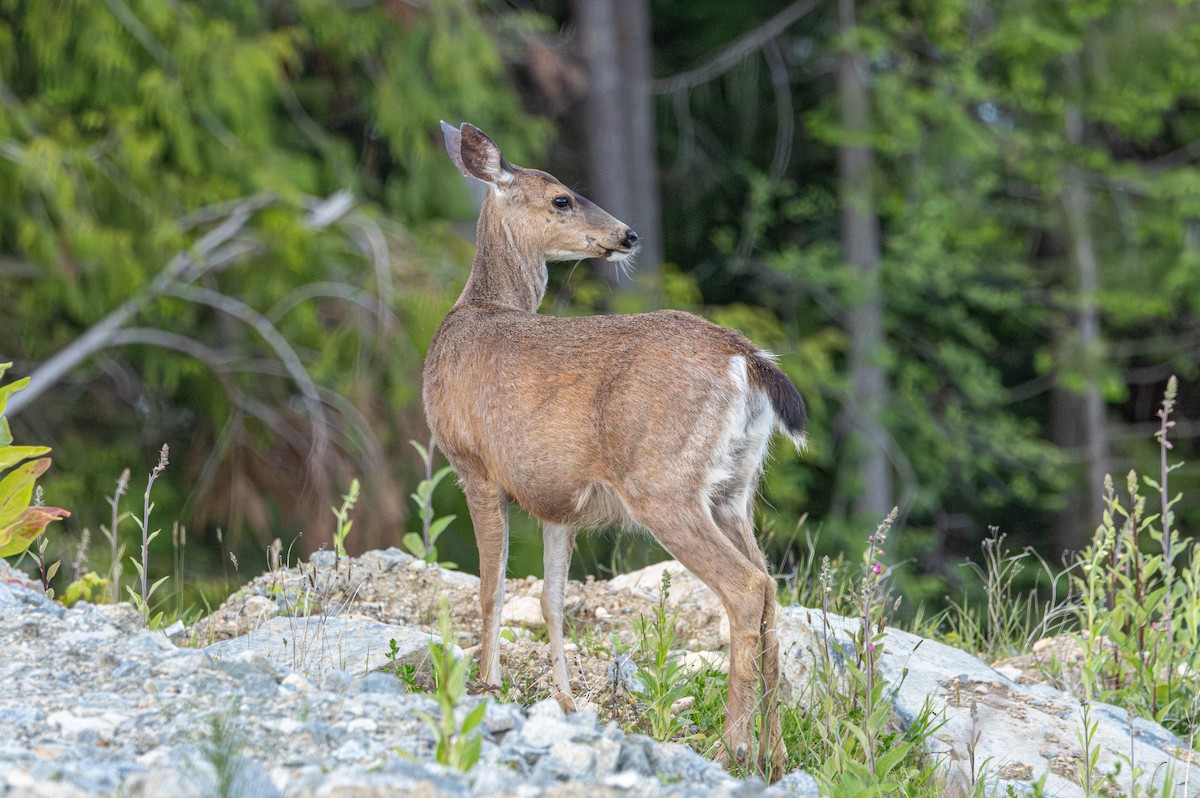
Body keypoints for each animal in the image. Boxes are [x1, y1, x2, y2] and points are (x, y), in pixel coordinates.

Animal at [423, 121, 806, 776]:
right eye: (561, 199)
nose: (628, 234)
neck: (476, 308)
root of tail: (745, 356)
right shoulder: (555, 502)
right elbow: (550, 599)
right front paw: (565, 702)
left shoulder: (474, 464)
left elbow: (491, 589)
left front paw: (486, 686)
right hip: (733, 490)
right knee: (771, 589)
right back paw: (774, 756)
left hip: (663, 484)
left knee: (746, 589)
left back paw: (730, 747)